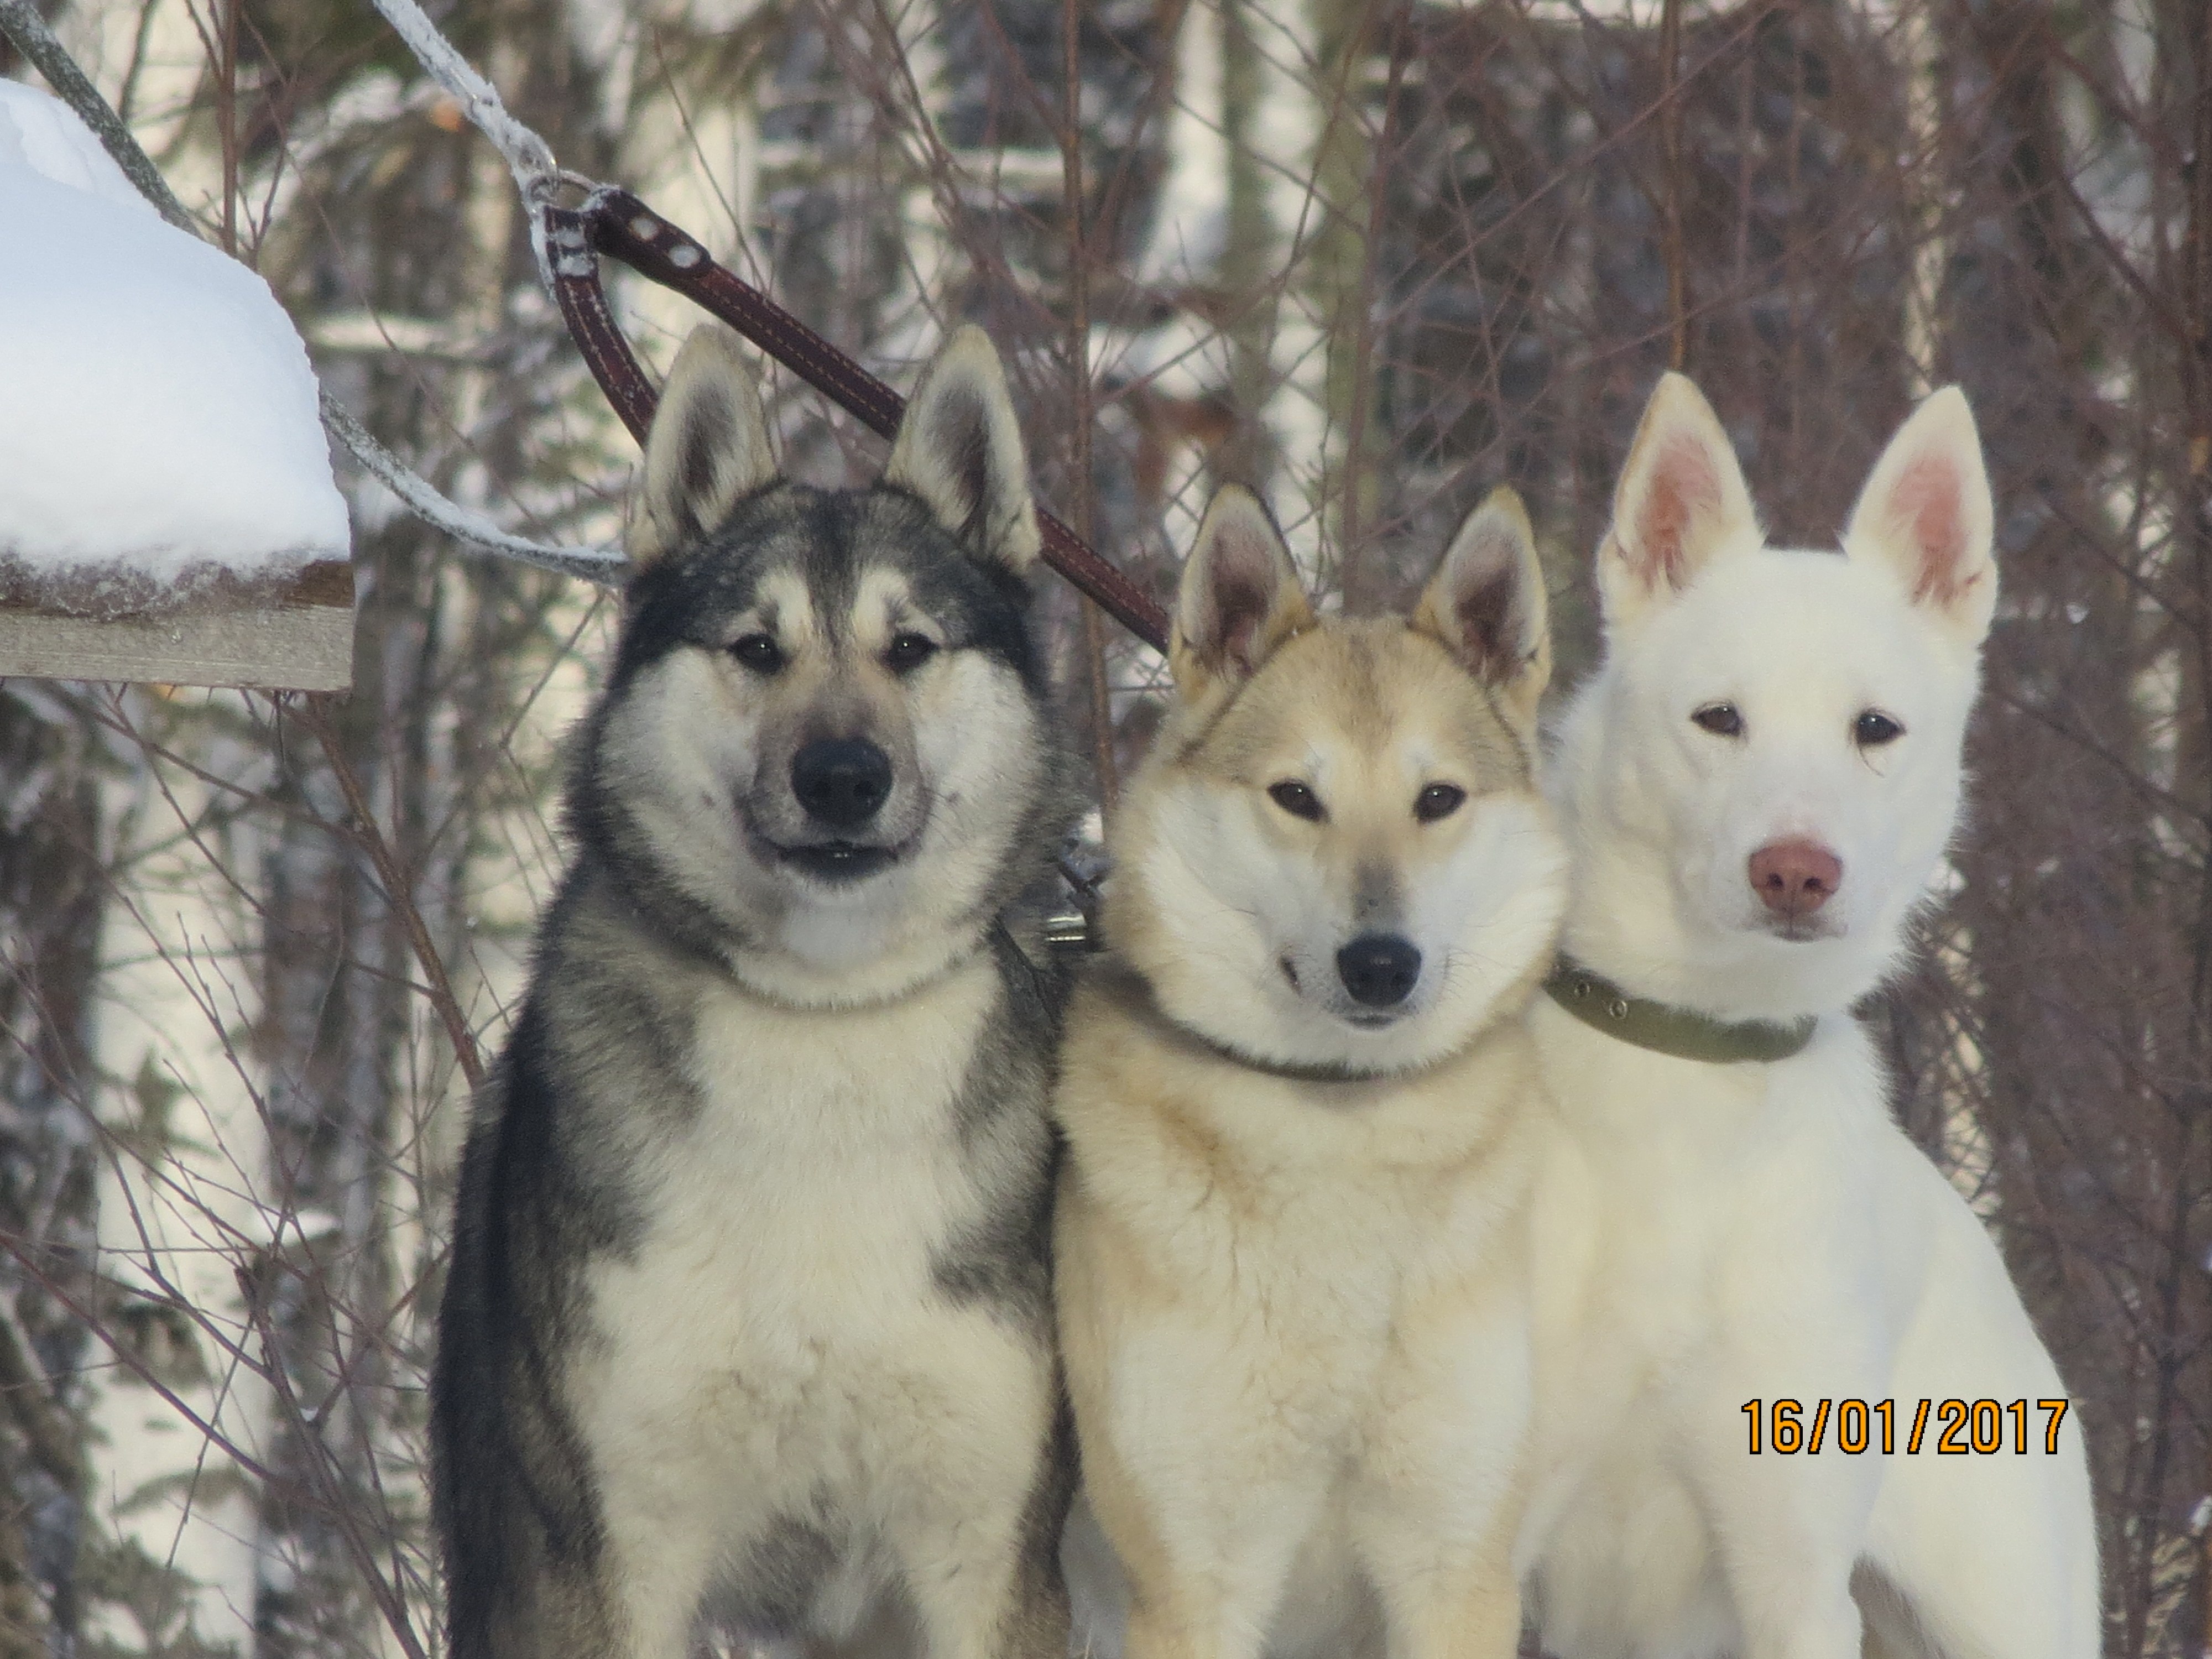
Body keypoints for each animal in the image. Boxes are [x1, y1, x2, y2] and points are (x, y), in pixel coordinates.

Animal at [1057, 491, 1566, 1659]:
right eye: (1296, 796)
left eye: (1438, 799)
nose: (1381, 964)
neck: (1341, 1123)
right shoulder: (1191, 1586)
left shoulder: (1454, 1567)